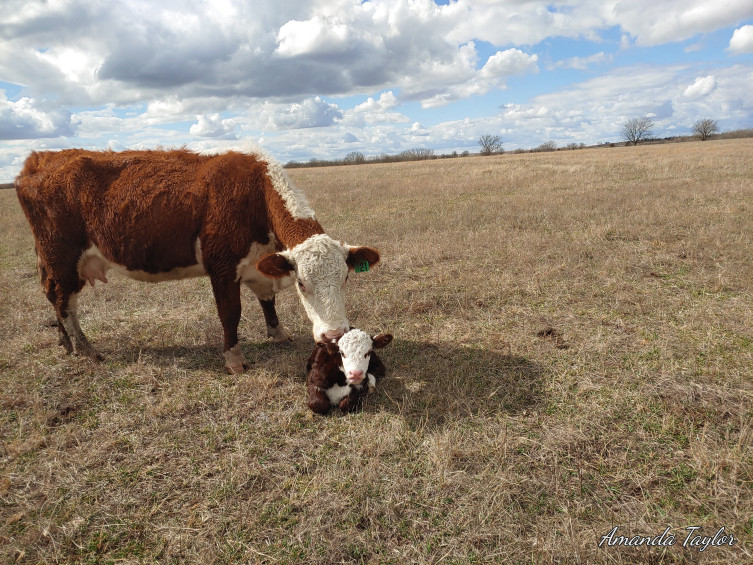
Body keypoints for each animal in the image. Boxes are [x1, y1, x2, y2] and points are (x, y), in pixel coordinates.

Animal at [14, 148, 380, 373]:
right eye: (302, 284)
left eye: (346, 278)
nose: (334, 335)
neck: (254, 193)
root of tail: (39, 160)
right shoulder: (222, 267)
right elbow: (230, 314)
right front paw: (234, 359)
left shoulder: (259, 263)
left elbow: (267, 301)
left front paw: (277, 333)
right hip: (62, 258)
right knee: (63, 300)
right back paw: (85, 349)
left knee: (53, 297)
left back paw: (65, 342)